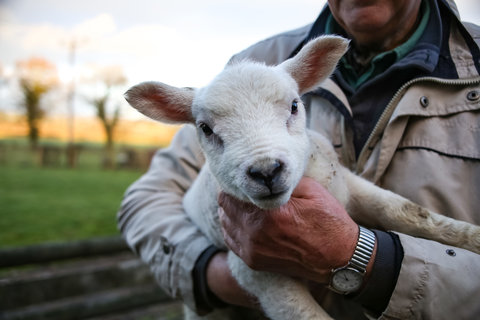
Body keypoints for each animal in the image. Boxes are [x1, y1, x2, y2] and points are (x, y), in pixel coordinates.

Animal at [124, 35, 480, 320]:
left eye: (295, 106)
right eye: (205, 129)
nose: (266, 171)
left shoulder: (349, 185)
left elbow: (410, 213)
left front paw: (472, 238)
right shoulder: (254, 271)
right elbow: (305, 315)